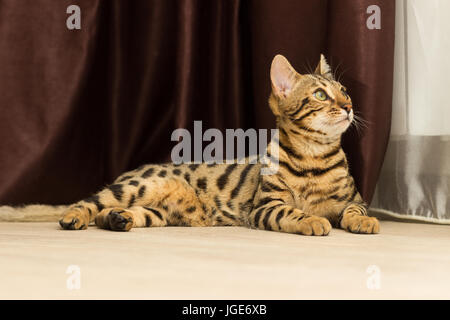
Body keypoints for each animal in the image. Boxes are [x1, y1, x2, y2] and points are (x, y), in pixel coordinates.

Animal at [0, 54, 380, 235]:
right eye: (320, 95)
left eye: (344, 91)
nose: (349, 106)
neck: (315, 158)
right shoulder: (265, 206)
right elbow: (293, 211)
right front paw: (312, 220)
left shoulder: (355, 199)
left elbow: (356, 211)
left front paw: (363, 223)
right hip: (137, 187)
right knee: (88, 202)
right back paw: (74, 218)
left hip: (158, 212)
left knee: (119, 214)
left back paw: (118, 220)